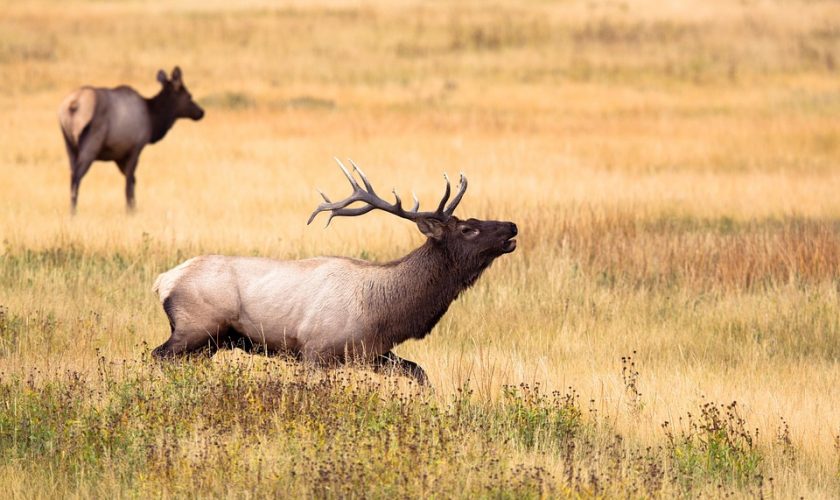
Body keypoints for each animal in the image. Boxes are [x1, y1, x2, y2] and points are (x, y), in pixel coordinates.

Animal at [58, 66, 204, 214]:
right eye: (189, 95)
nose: (201, 112)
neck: (153, 120)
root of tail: (74, 104)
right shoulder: (136, 147)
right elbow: (129, 181)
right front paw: (130, 211)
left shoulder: (118, 155)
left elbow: (132, 180)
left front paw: (133, 208)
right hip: (91, 143)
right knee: (77, 177)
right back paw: (73, 212)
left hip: (69, 145)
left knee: (72, 175)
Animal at [151, 160, 518, 384]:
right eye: (468, 229)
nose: (512, 226)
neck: (384, 312)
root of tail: (163, 281)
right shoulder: (315, 350)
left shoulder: (373, 353)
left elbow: (420, 374)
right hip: (196, 327)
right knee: (157, 355)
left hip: (210, 343)